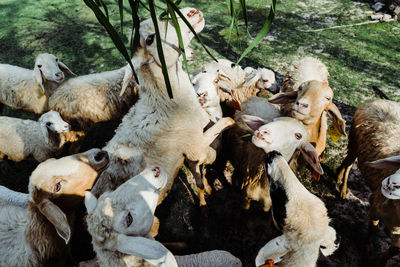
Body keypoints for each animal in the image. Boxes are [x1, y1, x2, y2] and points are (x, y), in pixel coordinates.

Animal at [336, 99, 400, 266]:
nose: (390, 185)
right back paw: (343, 188)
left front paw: (379, 262)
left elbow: (395, 249)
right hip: (354, 141)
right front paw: (367, 247)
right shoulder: (377, 204)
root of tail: (381, 100)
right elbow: (373, 227)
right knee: (348, 163)